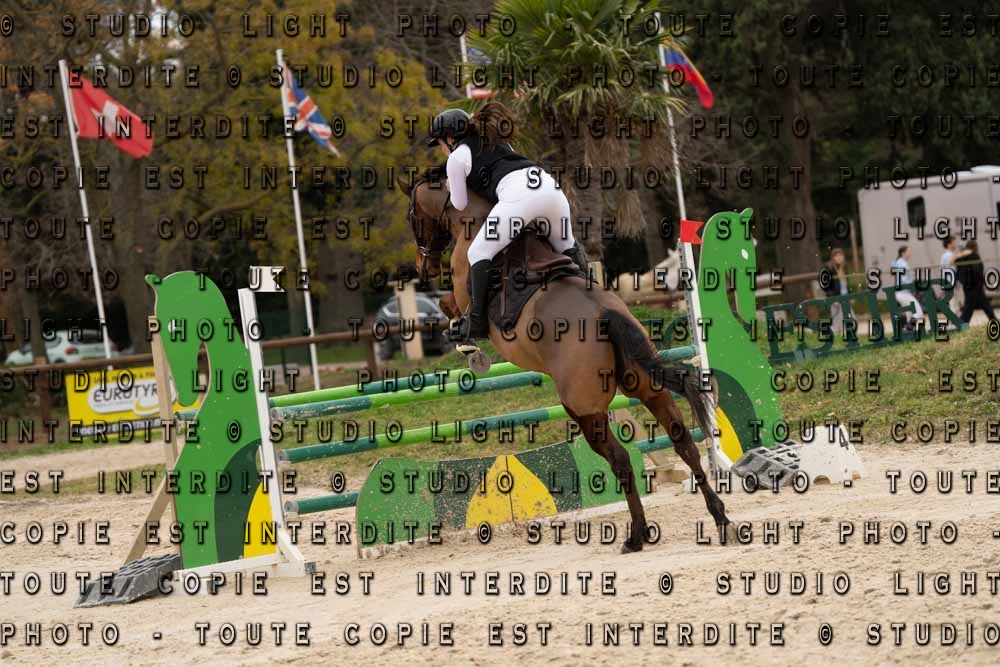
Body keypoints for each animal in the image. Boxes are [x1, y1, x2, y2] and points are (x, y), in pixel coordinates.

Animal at [397, 170, 733, 553]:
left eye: (411, 216)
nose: (422, 266)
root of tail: (607, 314)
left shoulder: (462, 292)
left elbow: (450, 306)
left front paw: (466, 341)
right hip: (650, 390)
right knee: (684, 444)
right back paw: (719, 518)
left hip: (585, 411)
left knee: (620, 460)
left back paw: (637, 535)